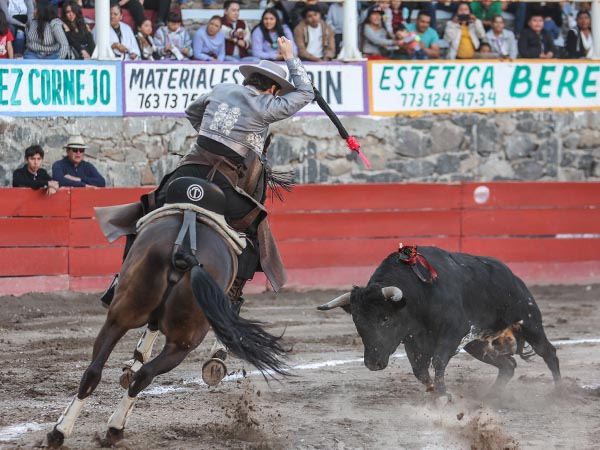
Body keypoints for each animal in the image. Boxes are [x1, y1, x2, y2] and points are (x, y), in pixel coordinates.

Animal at [45, 200, 284, 446]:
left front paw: (135, 360)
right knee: (144, 376)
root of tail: (184, 252)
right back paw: (115, 428)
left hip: (119, 317)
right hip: (183, 343)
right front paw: (217, 358)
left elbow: (150, 329)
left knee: (94, 371)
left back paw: (59, 432)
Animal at [318, 246, 564, 398]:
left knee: (548, 352)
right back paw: (491, 396)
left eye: (385, 317)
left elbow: (437, 361)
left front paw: (444, 395)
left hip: (529, 322)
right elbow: (420, 371)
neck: (419, 296)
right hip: (476, 343)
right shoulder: (412, 340)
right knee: (508, 365)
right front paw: (437, 394)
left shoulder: (453, 331)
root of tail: (514, 277)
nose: (372, 363)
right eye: (356, 320)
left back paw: (558, 393)